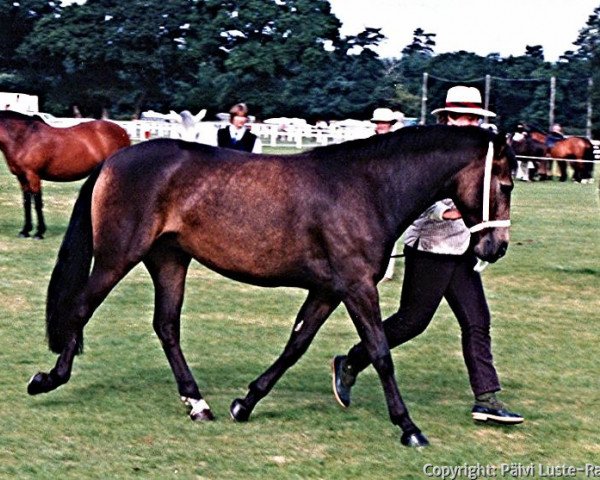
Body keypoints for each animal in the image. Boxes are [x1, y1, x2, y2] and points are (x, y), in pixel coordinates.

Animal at [0, 110, 131, 238]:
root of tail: (123, 132)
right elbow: (26, 202)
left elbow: (37, 203)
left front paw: (39, 232)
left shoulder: (33, 176)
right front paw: (25, 231)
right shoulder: (21, 177)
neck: (23, 137)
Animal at [29, 125, 516, 448]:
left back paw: (197, 403)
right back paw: (49, 379)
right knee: (80, 308)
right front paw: (409, 428)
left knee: (166, 326)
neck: (368, 188)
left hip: (169, 260)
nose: (496, 247)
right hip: (118, 257)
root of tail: (113, 159)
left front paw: (244, 403)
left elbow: (295, 345)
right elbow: (380, 352)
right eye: (507, 183)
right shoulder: (357, 286)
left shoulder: (328, 290)